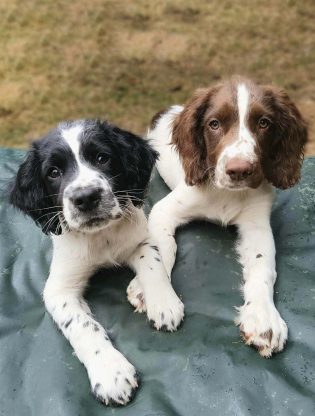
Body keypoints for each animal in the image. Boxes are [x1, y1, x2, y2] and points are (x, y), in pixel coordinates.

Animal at [9, 120, 184, 406]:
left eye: (102, 158)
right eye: (53, 172)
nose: (87, 197)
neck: (100, 237)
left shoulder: (141, 241)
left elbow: (154, 264)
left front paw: (163, 303)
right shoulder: (59, 290)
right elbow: (83, 325)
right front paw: (111, 373)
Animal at [146, 77, 308, 358]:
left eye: (264, 122)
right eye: (214, 124)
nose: (240, 170)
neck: (226, 194)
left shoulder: (257, 226)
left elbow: (263, 266)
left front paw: (263, 318)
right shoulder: (164, 210)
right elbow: (163, 247)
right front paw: (158, 297)